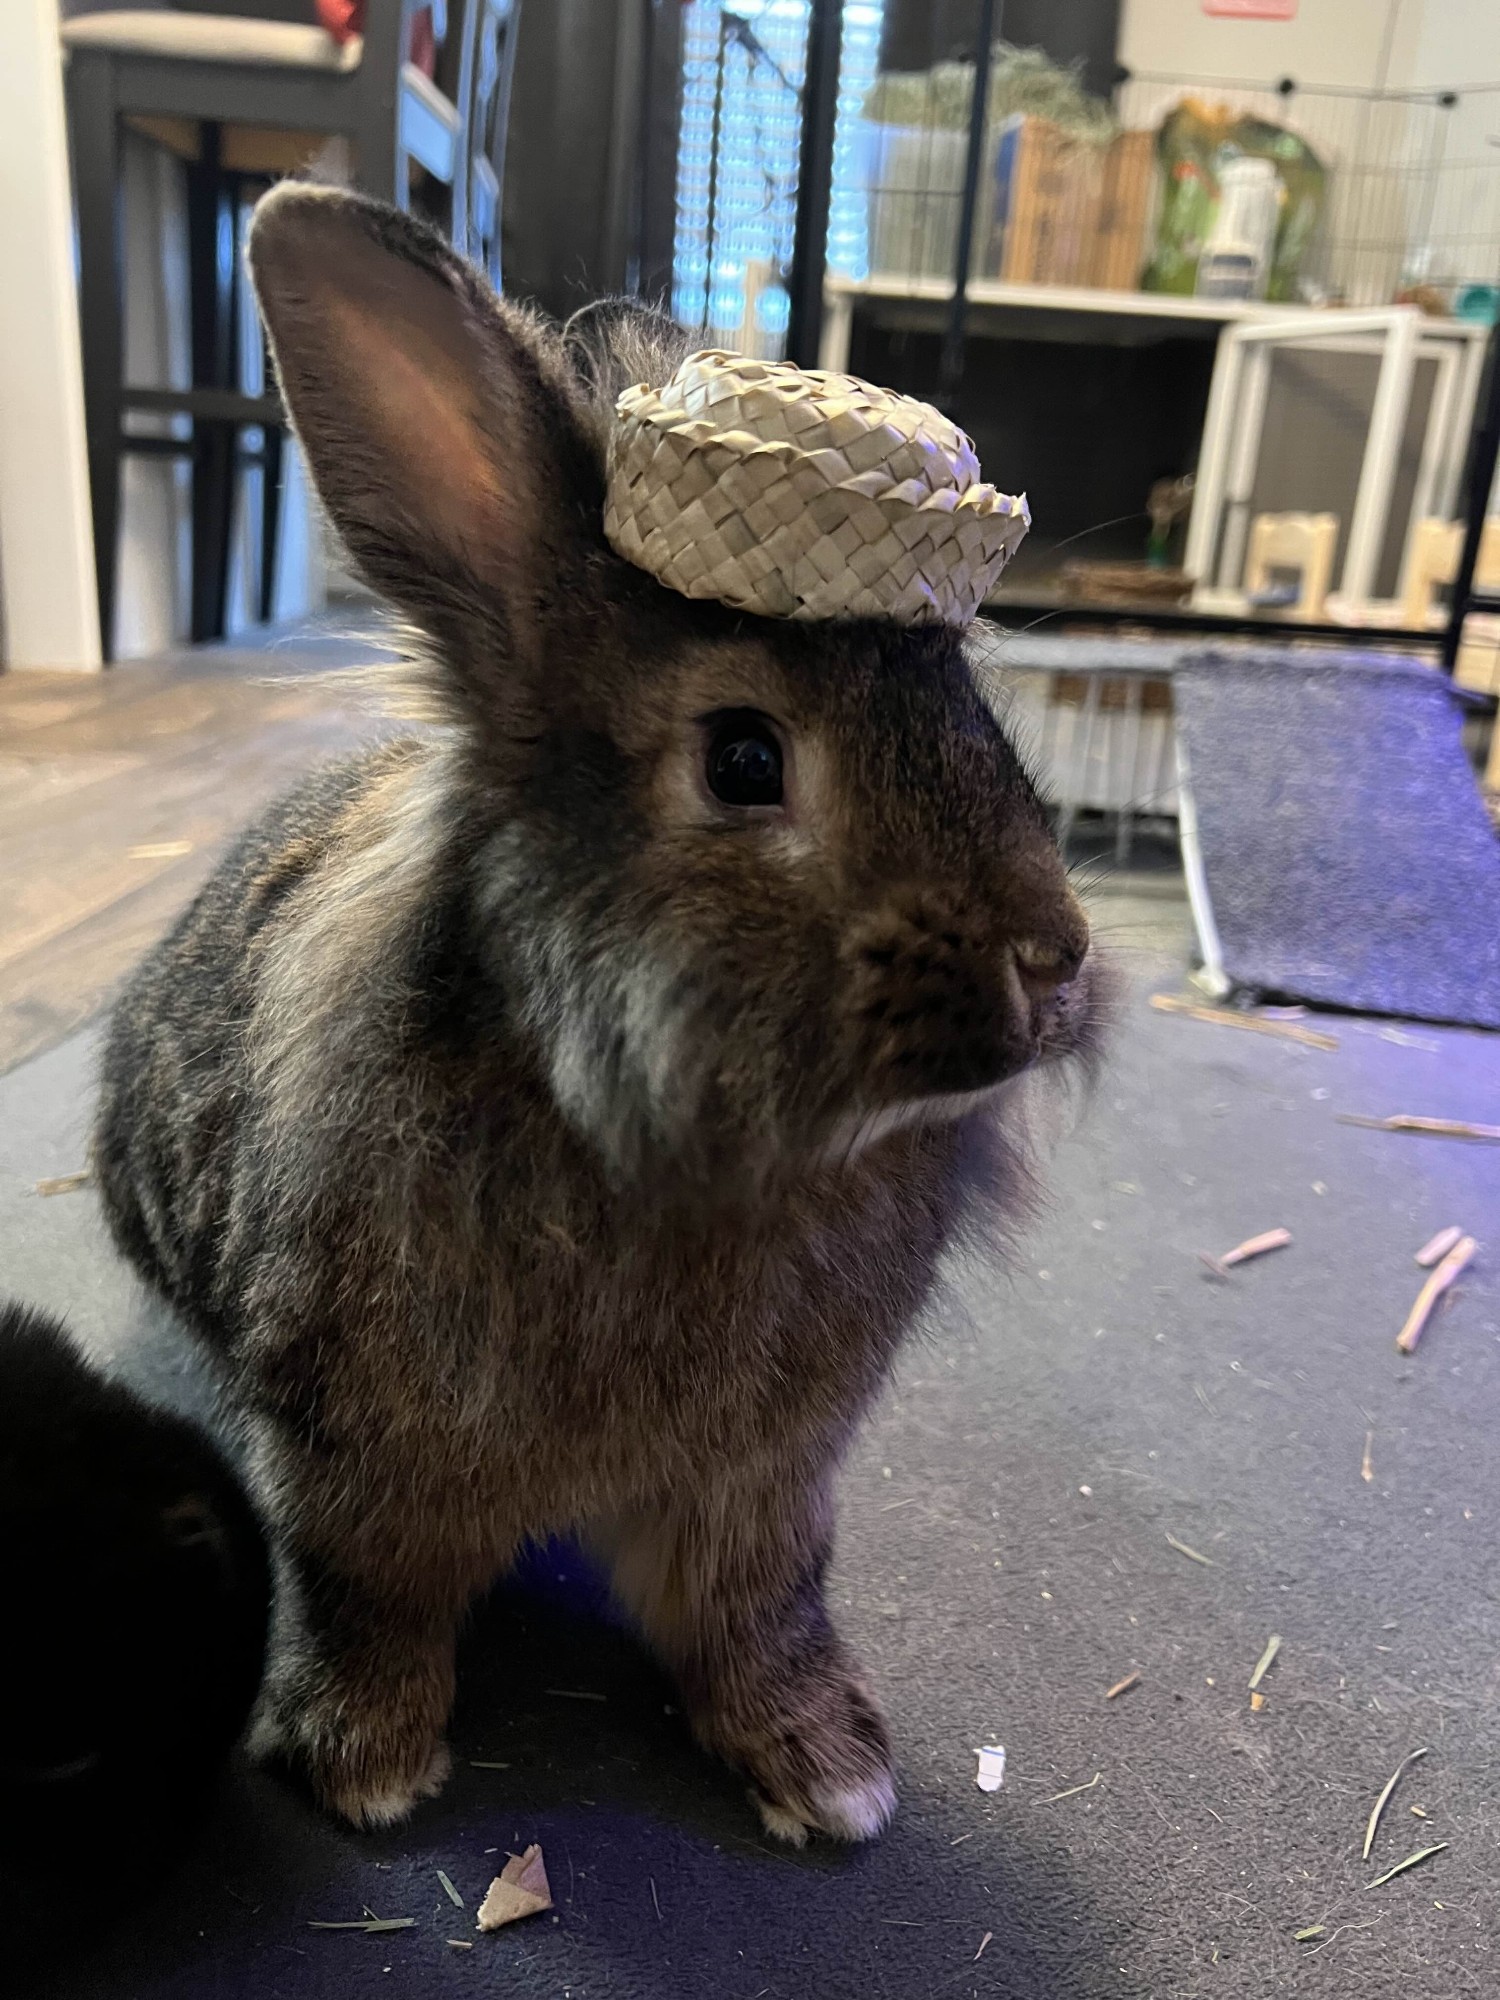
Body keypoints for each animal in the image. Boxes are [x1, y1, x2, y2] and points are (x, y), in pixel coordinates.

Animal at [92, 184, 1099, 1843]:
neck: (657, 1129)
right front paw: (362, 1765)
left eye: (980, 723)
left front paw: (829, 1771)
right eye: (745, 759)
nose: (1054, 962)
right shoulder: (357, 1476)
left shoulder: (760, 1491)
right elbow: (365, 1602)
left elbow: (761, 1612)